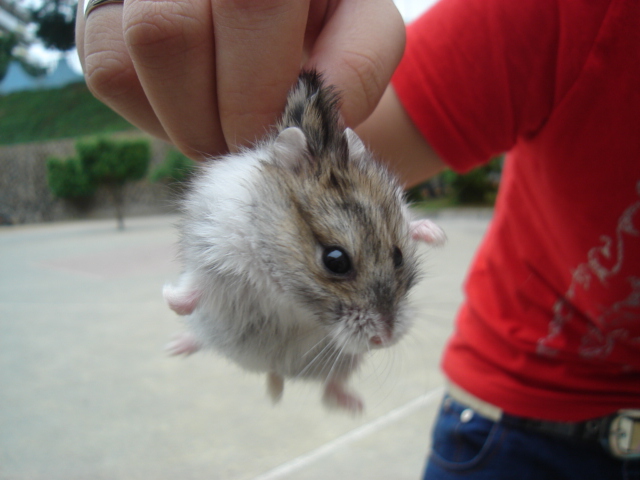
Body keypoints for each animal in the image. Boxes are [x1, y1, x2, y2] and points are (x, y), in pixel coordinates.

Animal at [163, 70, 445, 413]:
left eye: (399, 256)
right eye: (335, 260)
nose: (386, 339)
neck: (290, 297)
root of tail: (276, 370)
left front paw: (436, 234)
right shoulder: (214, 245)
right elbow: (195, 285)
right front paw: (170, 297)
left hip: (346, 360)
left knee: (329, 390)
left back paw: (352, 405)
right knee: (203, 338)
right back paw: (177, 348)